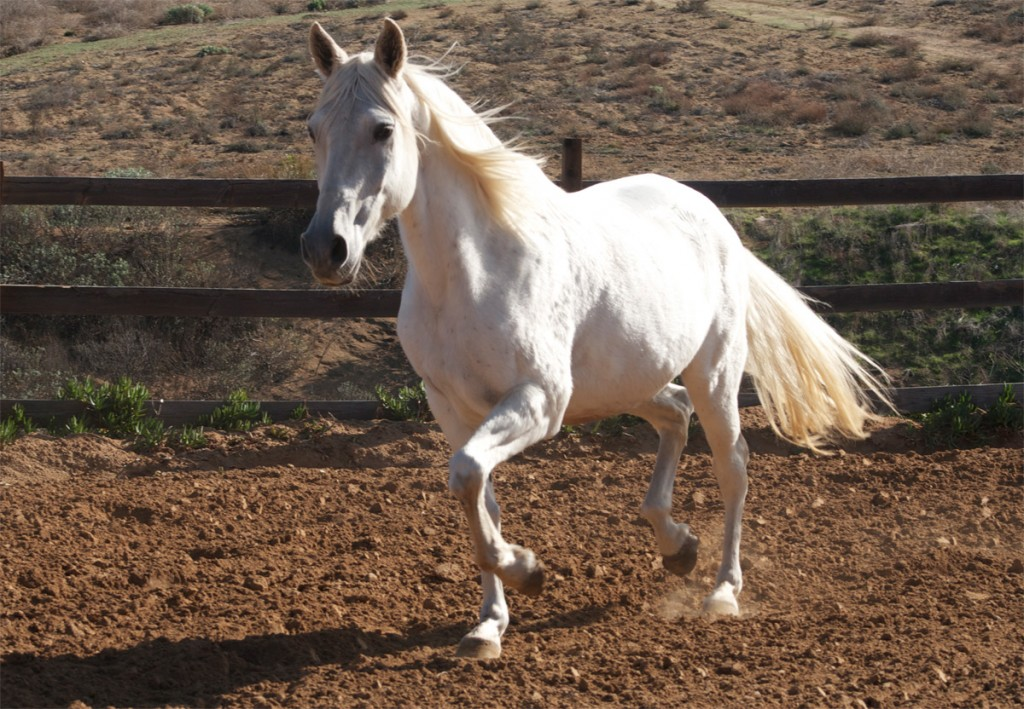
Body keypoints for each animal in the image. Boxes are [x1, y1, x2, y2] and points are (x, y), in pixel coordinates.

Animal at [300, 19, 892, 659]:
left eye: (383, 129)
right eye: (314, 129)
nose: (325, 249)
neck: (472, 273)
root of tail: (711, 215)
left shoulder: (541, 400)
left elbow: (468, 475)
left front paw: (527, 570)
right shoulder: (452, 408)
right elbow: (477, 491)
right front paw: (488, 625)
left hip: (713, 372)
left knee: (732, 463)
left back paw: (722, 592)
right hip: (626, 382)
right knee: (674, 416)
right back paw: (676, 545)